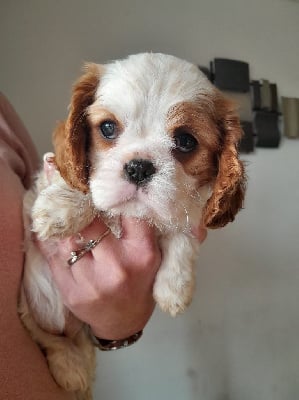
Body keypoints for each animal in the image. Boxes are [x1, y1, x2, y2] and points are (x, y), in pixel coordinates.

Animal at [19, 54, 247, 400]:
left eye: (185, 141)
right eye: (108, 128)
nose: (139, 167)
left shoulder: (188, 211)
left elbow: (183, 235)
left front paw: (174, 287)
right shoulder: (49, 169)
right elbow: (75, 177)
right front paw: (61, 206)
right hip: (36, 307)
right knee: (49, 338)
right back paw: (71, 368)